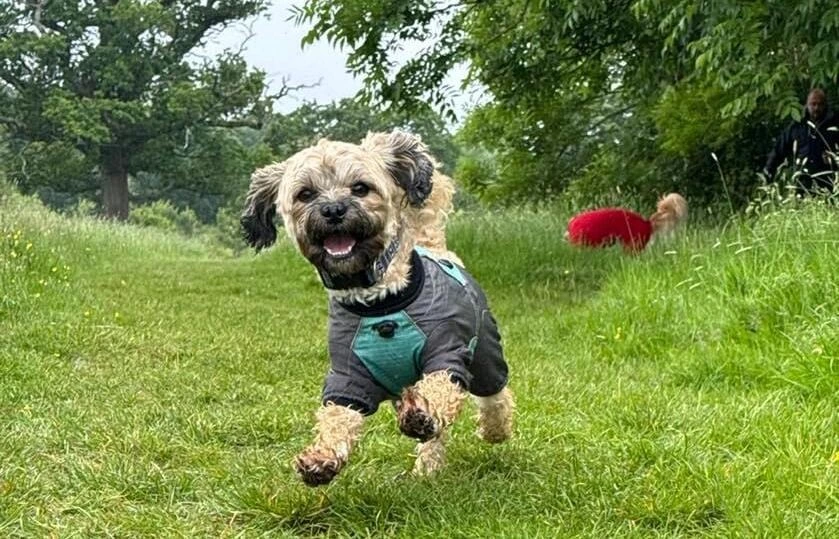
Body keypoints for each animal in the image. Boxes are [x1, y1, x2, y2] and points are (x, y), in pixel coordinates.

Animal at [241, 132, 512, 490]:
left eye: (360, 187)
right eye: (306, 193)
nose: (333, 209)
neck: (380, 303)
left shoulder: (447, 353)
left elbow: (440, 388)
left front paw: (423, 413)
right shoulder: (348, 377)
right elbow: (337, 418)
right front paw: (321, 457)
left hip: (485, 353)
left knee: (496, 393)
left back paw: (495, 429)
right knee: (436, 436)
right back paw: (428, 465)